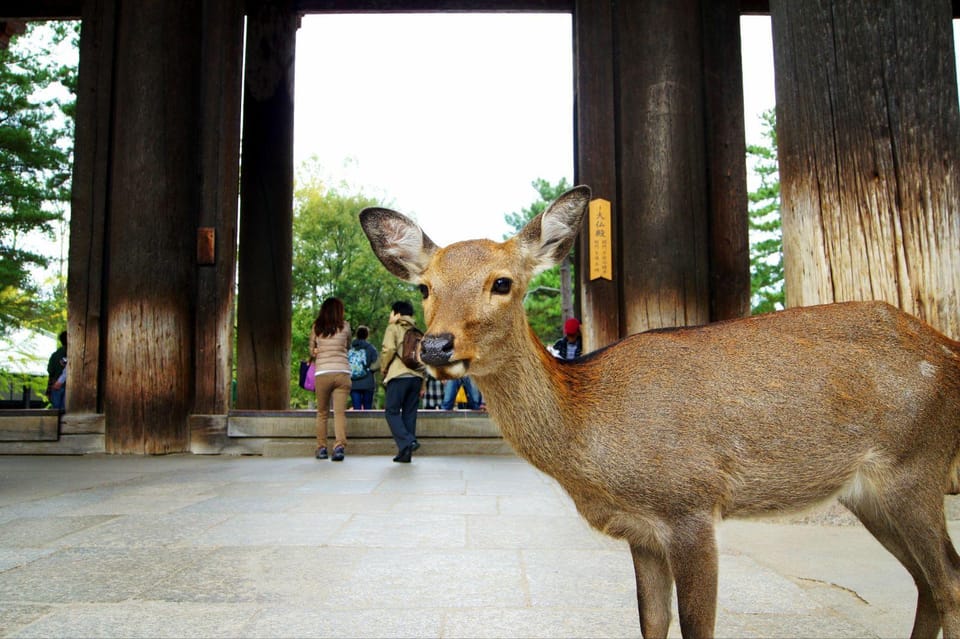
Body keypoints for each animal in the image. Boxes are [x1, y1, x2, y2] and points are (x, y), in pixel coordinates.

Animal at [356, 185, 960, 639]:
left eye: (502, 282)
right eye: (425, 286)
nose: (435, 347)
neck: (590, 430)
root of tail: (946, 350)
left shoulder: (689, 505)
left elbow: (697, 627)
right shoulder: (642, 532)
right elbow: (651, 623)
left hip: (916, 467)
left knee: (949, 582)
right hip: (871, 494)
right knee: (927, 585)